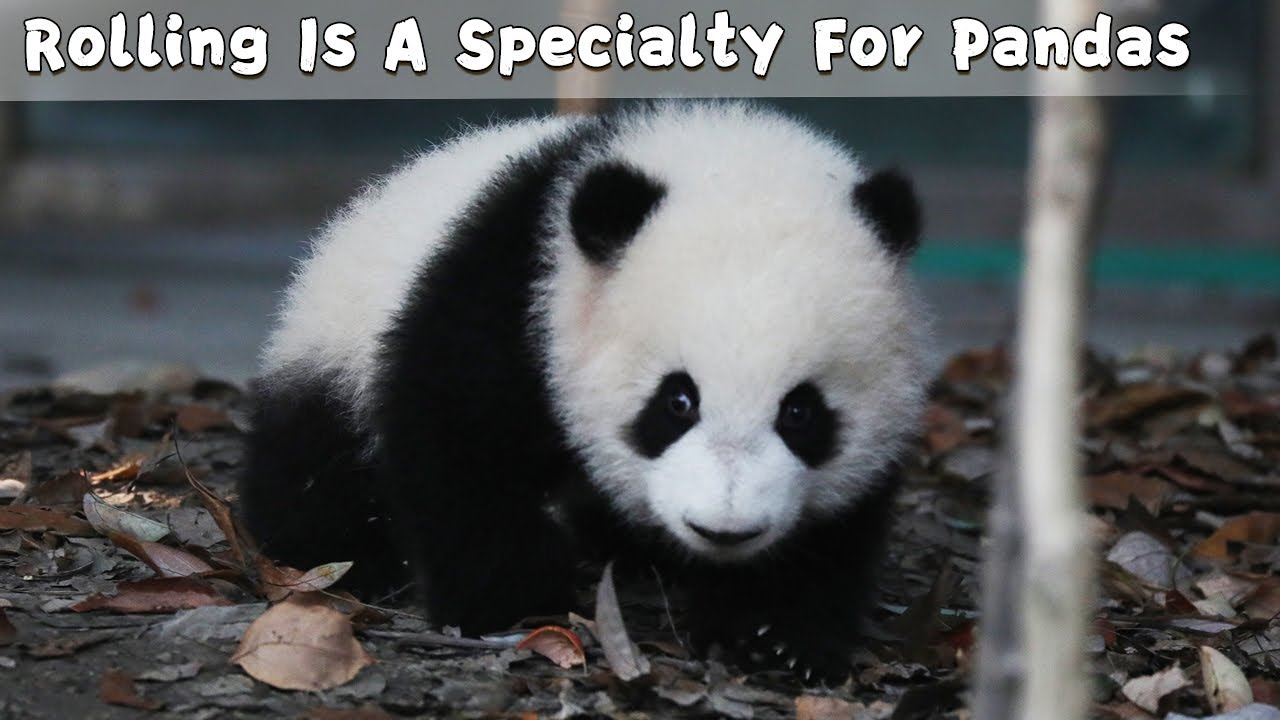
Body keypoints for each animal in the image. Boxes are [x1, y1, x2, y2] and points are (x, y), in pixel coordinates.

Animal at [238, 100, 926, 682]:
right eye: (677, 402)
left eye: (801, 412)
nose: (724, 528)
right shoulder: (516, 297)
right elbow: (456, 441)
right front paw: (507, 599)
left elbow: (833, 529)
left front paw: (772, 636)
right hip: (333, 351)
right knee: (314, 467)